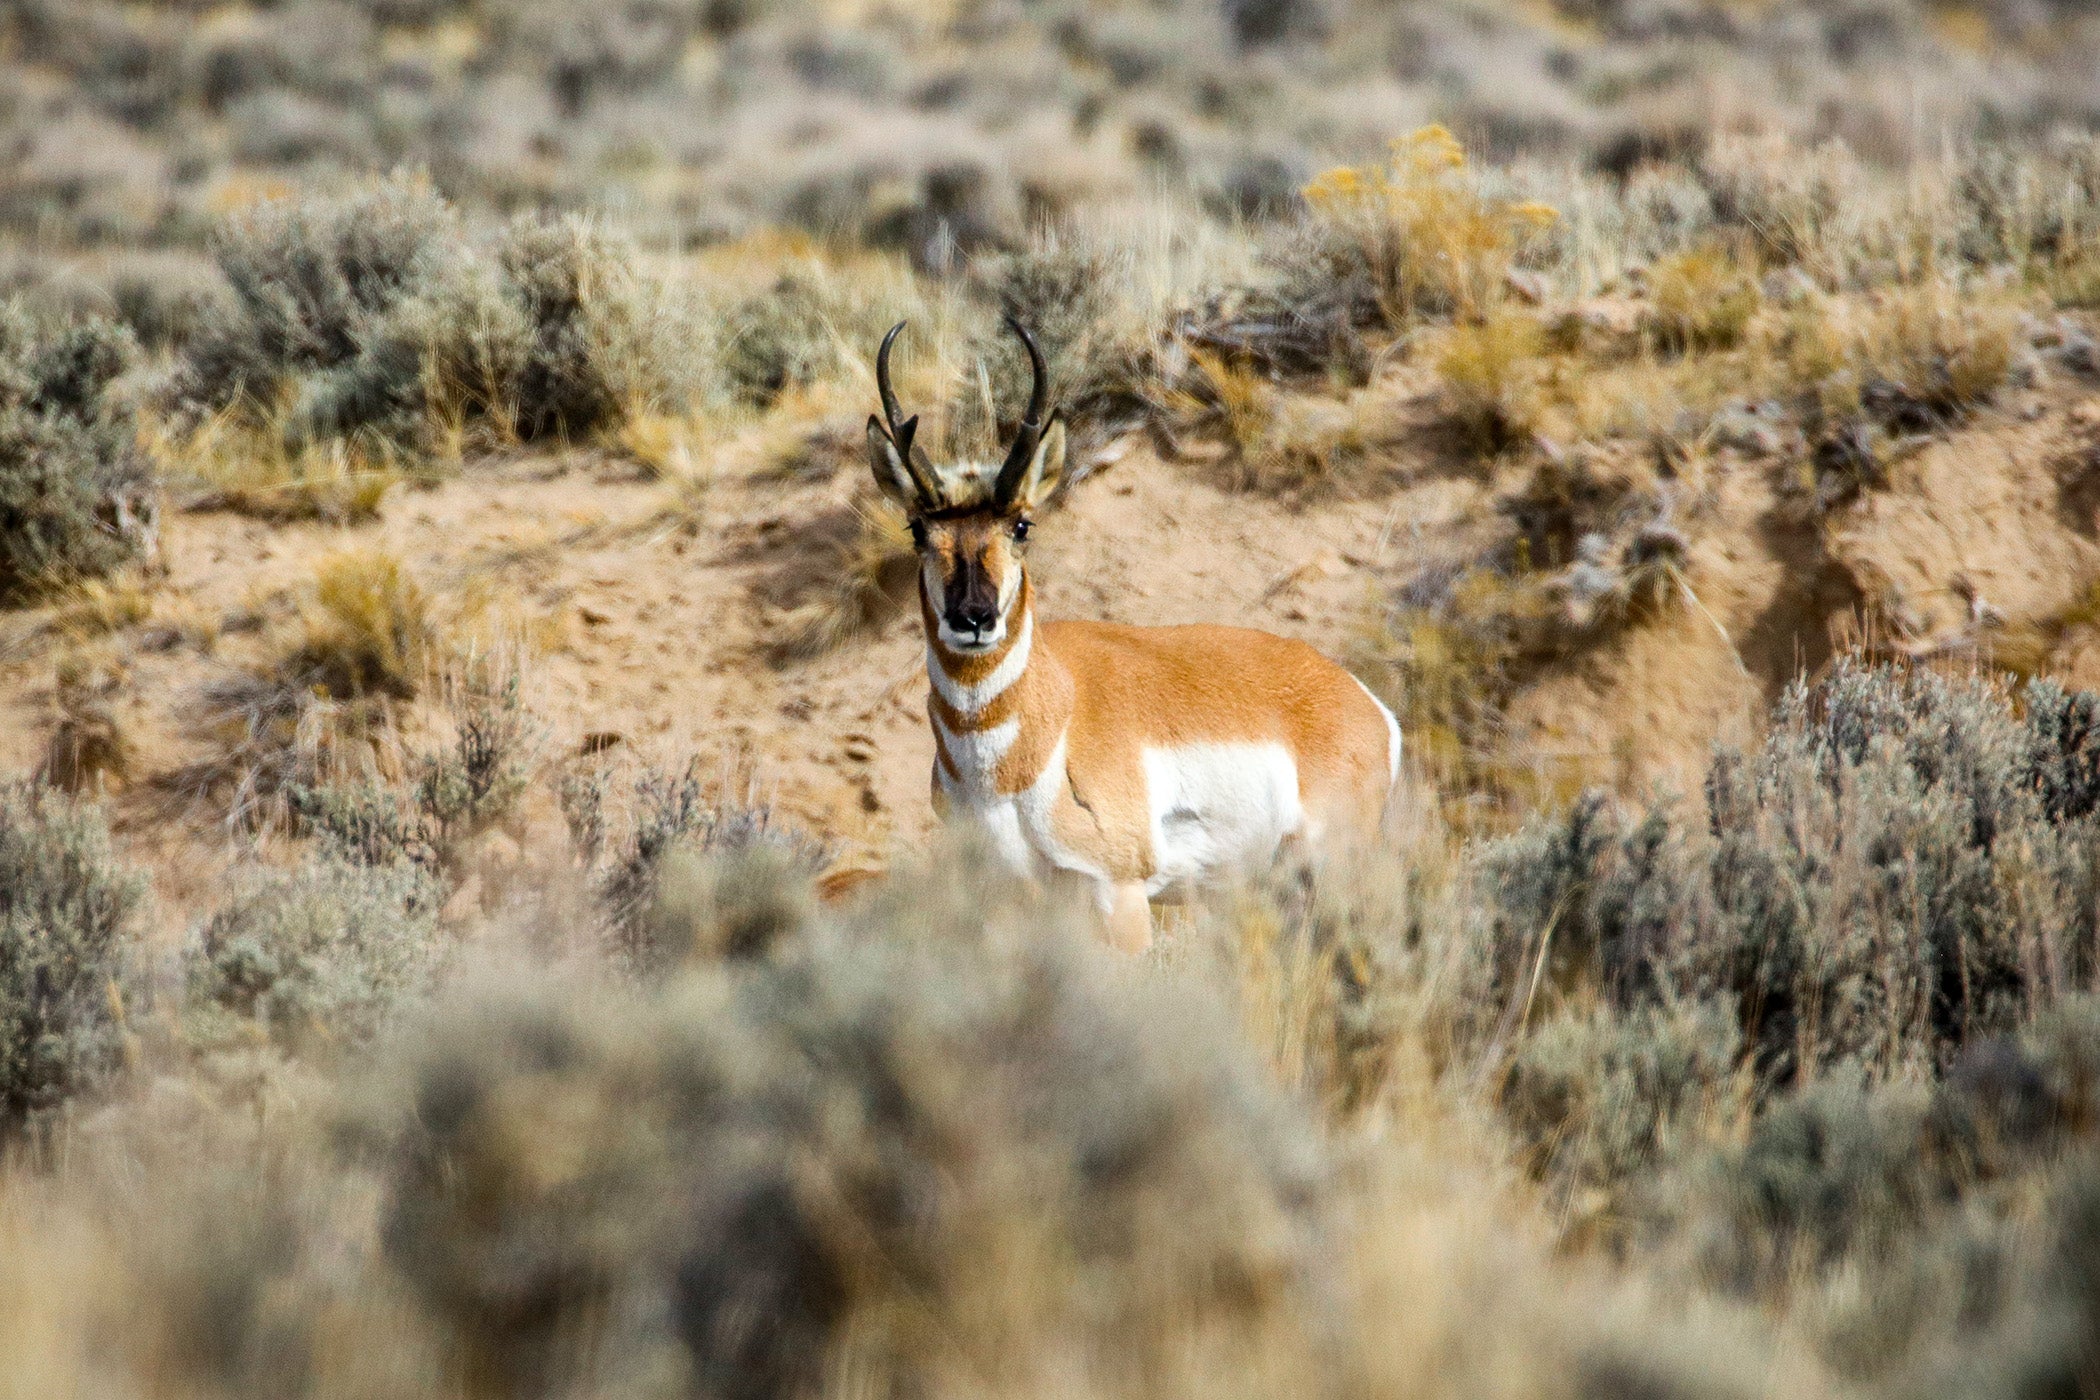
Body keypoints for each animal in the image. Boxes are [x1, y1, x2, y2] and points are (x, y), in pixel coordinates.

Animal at [860, 316, 1402, 952]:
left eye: (1021, 525)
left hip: (1333, 868)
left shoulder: (1119, 893)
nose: (974, 618)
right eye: (918, 530)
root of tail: (1361, 699)